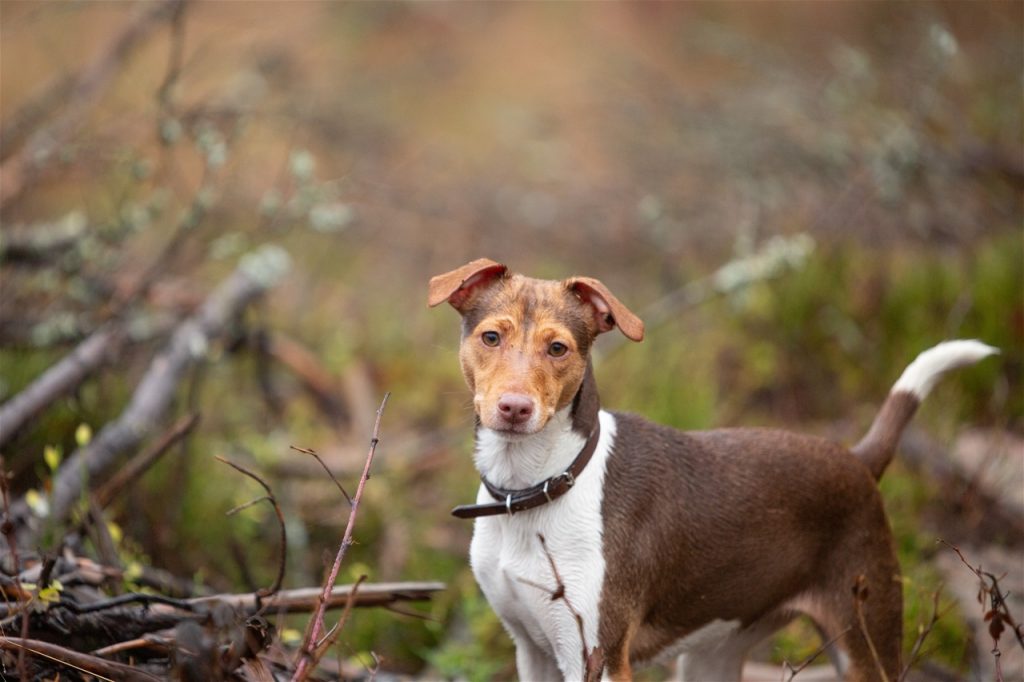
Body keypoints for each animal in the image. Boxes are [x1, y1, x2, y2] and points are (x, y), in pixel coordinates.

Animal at [428, 254, 995, 679]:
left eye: (558, 348)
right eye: (491, 338)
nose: (514, 408)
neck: (539, 487)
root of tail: (858, 459)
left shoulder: (596, 656)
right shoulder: (534, 650)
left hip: (864, 637)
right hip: (717, 651)